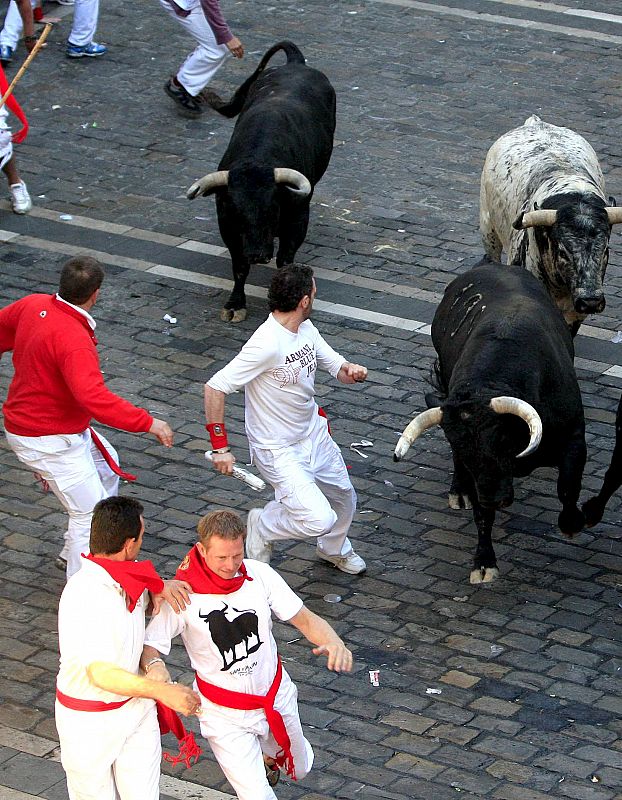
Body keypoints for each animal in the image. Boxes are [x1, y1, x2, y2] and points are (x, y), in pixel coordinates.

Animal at [189, 40, 338, 322]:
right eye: (236, 212)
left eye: (272, 208)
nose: (257, 254)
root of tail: (295, 63)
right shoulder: (228, 228)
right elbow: (239, 266)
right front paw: (235, 304)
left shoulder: (297, 219)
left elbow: (285, 260)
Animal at [398, 266, 588, 584]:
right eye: (458, 445)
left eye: (501, 438)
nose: (493, 498)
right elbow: (482, 517)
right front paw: (484, 563)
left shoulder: (574, 435)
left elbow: (567, 485)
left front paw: (571, 523)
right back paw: (459, 491)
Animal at [482, 114, 622, 332]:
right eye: (563, 251)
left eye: (605, 249)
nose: (590, 301)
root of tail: (535, 122)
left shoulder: (575, 315)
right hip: (488, 229)